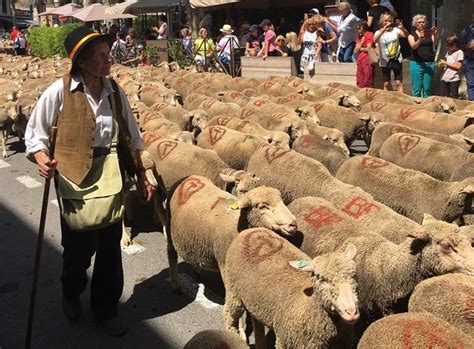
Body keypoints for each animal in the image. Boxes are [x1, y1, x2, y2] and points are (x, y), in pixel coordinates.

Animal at [165, 175, 294, 290]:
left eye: (281, 201)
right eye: (263, 206)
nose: (293, 224)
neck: (241, 221)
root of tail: (188, 177)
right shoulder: (225, 264)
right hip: (169, 229)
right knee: (171, 254)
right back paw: (176, 285)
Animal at [223, 226, 360, 348]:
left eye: (354, 275)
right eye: (321, 278)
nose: (352, 312)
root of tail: (249, 231)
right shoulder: (284, 341)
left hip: (253, 299)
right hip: (233, 291)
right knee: (229, 316)